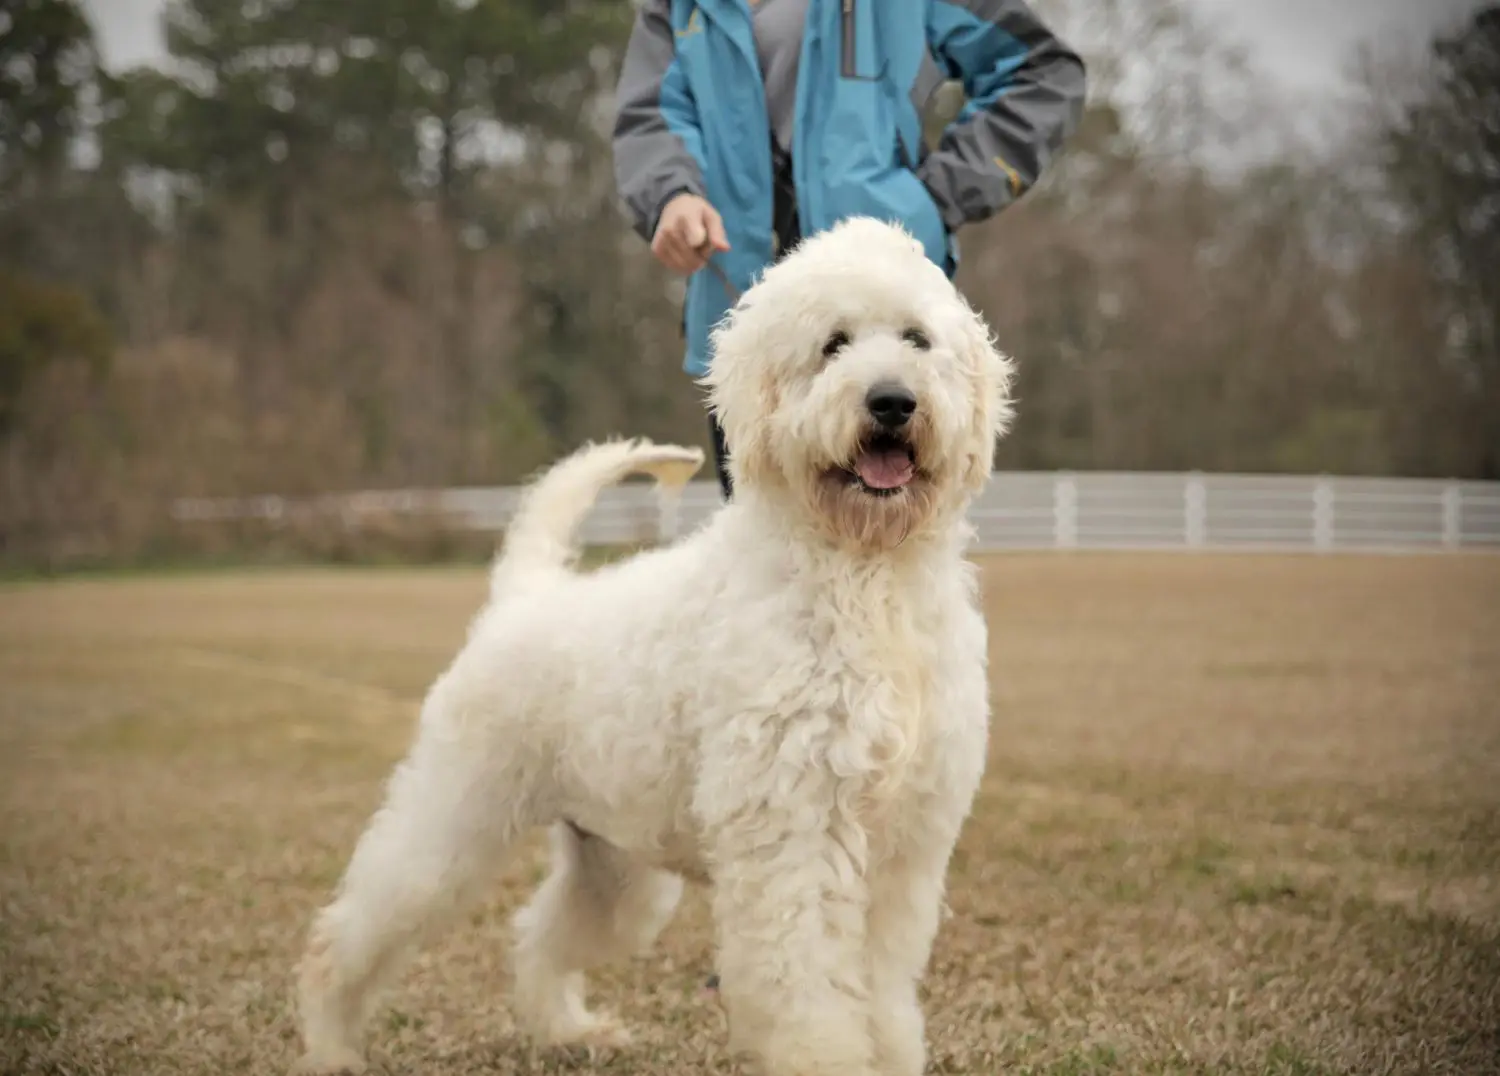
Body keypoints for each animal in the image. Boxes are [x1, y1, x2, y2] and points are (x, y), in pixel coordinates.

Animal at [289, 217, 1020, 1074]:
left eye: (916, 338)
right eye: (833, 343)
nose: (892, 401)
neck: (864, 580)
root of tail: (526, 594)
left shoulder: (904, 850)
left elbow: (881, 995)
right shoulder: (795, 837)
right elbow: (810, 993)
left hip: (616, 873)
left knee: (538, 938)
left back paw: (570, 1029)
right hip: (450, 826)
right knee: (348, 935)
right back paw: (333, 1046)